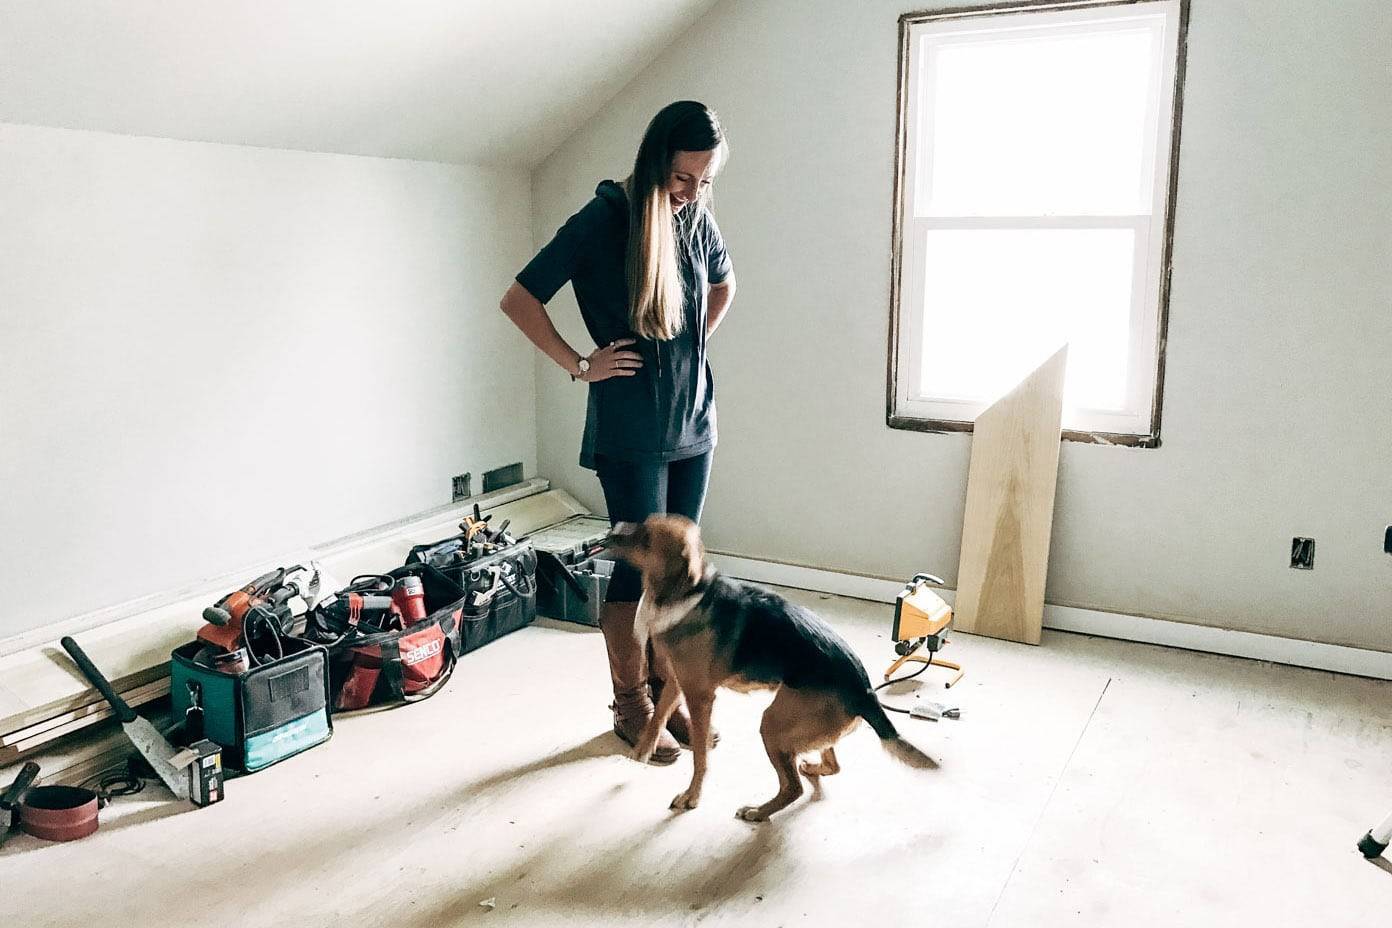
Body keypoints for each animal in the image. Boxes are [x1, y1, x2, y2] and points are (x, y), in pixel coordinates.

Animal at [609, 514, 935, 818]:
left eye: (646, 538)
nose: (613, 531)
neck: (691, 593)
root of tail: (866, 692)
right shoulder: (679, 681)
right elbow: (657, 717)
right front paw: (643, 749)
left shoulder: (700, 696)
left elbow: (700, 755)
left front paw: (692, 795)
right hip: (808, 729)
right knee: (832, 765)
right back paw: (810, 770)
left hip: (773, 725)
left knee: (794, 788)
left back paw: (758, 812)